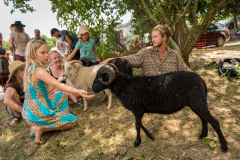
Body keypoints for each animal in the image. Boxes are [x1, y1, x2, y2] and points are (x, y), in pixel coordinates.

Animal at [92, 64, 229, 152]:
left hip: (198, 102)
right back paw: (203, 135)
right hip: (197, 104)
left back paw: (224, 146)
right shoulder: (140, 110)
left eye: (100, 77)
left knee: (214, 121)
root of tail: (202, 81)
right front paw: (150, 136)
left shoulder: (137, 109)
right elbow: (139, 124)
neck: (125, 86)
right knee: (203, 118)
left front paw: (137, 142)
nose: (93, 89)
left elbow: (137, 125)